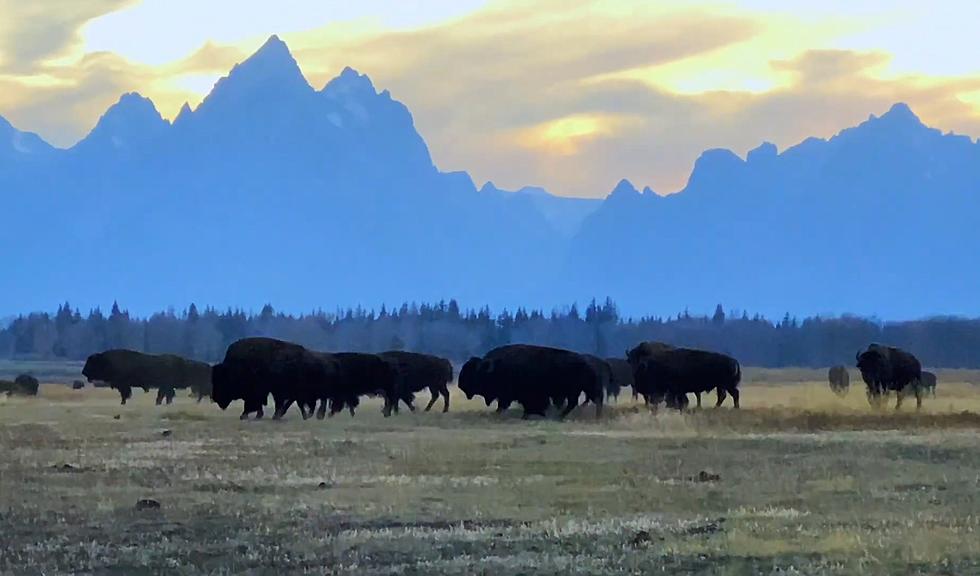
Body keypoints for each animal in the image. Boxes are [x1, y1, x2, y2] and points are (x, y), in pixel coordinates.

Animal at [83, 352, 211, 404]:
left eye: (91, 362)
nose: (83, 372)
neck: (106, 360)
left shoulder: (123, 384)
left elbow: (125, 393)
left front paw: (123, 402)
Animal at [456, 342, 600, 418]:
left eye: (475, 373)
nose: (461, 384)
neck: (495, 366)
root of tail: (586, 362)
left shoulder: (511, 395)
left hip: (577, 390)